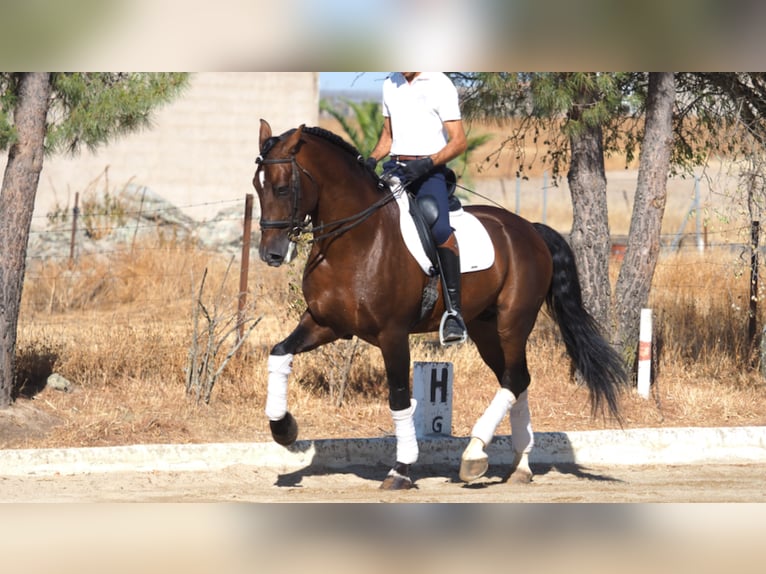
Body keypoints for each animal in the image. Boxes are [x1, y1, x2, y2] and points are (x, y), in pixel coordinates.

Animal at [255, 120, 628, 490]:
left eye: (283, 189)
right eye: (258, 187)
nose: (271, 254)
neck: (354, 240)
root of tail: (530, 230)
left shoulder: (392, 334)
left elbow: (399, 398)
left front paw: (401, 469)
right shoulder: (325, 323)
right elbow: (279, 353)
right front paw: (283, 428)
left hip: (513, 322)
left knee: (515, 379)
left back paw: (474, 455)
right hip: (485, 328)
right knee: (516, 380)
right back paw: (520, 464)